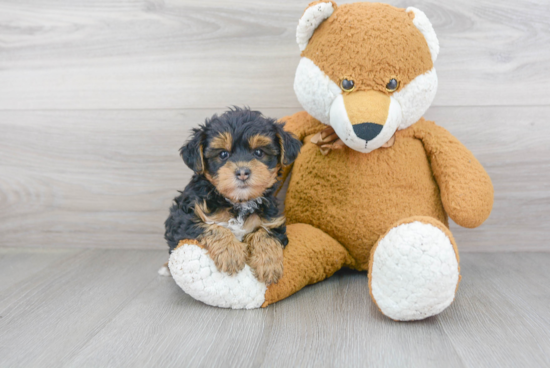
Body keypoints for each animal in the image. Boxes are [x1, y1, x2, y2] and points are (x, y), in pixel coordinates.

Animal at [164, 106, 302, 284]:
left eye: (259, 152)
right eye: (223, 154)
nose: (242, 172)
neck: (238, 202)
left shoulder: (273, 221)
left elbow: (265, 233)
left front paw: (268, 264)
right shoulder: (182, 217)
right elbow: (212, 226)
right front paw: (231, 253)